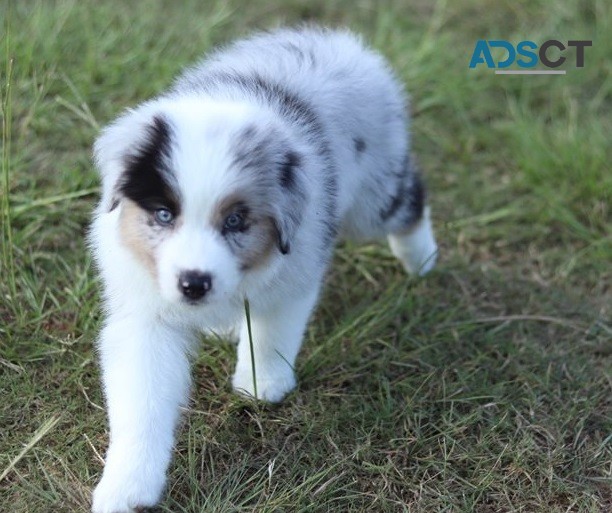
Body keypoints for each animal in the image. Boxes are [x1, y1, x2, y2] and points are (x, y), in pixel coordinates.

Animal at [88, 25, 438, 512]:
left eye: (236, 221)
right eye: (162, 214)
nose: (194, 284)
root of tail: (344, 43)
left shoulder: (296, 269)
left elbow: (272, 331)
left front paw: (260, 383)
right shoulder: (145, 313)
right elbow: (142, 401)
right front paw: (126, 487)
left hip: (373, 192)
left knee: (407, 201)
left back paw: (421, 259)